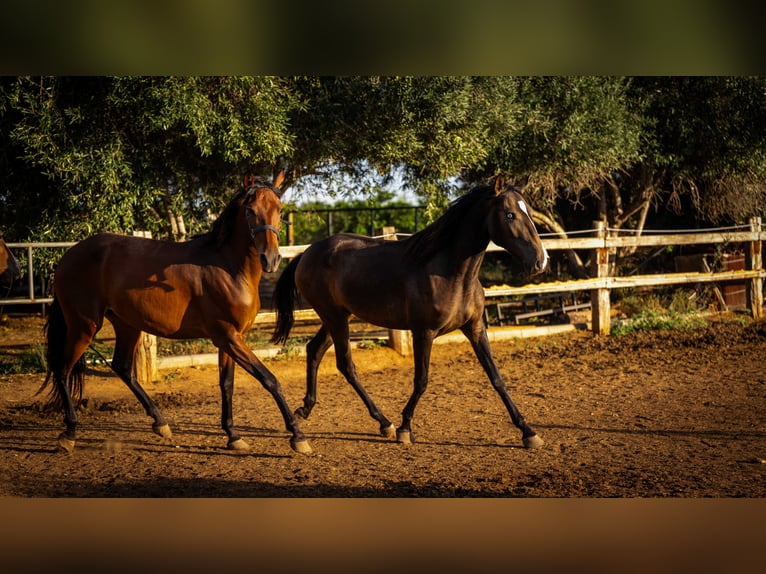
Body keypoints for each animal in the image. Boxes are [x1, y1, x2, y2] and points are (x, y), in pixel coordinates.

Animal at [40, 173, 312, 455]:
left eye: (279, 210)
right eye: (250, 210)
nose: (270, 259)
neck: (227, 267)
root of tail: (69, 255)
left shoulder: (230, 339)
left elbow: (227, 385)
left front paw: (233, 436)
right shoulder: (227, 336)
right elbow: (269, 380)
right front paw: (297, 435)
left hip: (127, 324)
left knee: (123, 367)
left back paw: (160, 423)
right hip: (84, 326)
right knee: (62, 369)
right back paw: (69, 434)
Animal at [271, 175, 549, 449]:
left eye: (528, 212)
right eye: (510, 214)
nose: (541, 261)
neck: (449, 274)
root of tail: (307, 253)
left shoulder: (475, 328)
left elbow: (497, 378)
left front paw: (528, 432)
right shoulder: (424, 333)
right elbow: (421, 380)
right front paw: (405, 429)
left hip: (337, 317)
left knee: (314, 350)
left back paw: (306, 410)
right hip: (335, 318)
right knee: (346, 365)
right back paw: (384, 422)